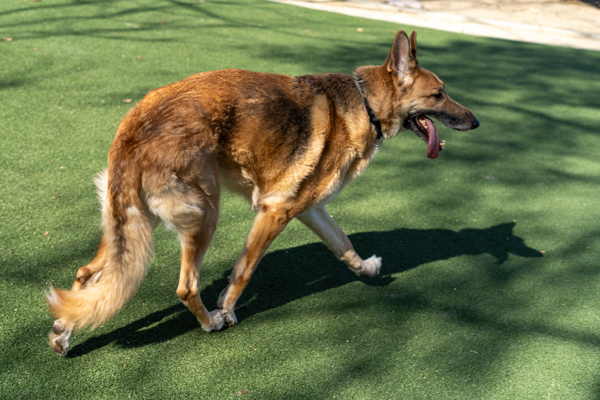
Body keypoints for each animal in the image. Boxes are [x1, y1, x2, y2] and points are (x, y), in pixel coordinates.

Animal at [45, 31, 478, 356]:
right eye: (439, 94)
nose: (475, 122)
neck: (366, 102)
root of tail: (134, 127)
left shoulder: (308, 209)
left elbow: (344, 245)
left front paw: (367, 269)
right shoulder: (274, 211)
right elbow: (243, 271)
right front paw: (227, 311)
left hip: (134, 225)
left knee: (86, 275)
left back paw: (64, 331)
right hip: (205, 215)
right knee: (186, 287)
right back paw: (209, 322)